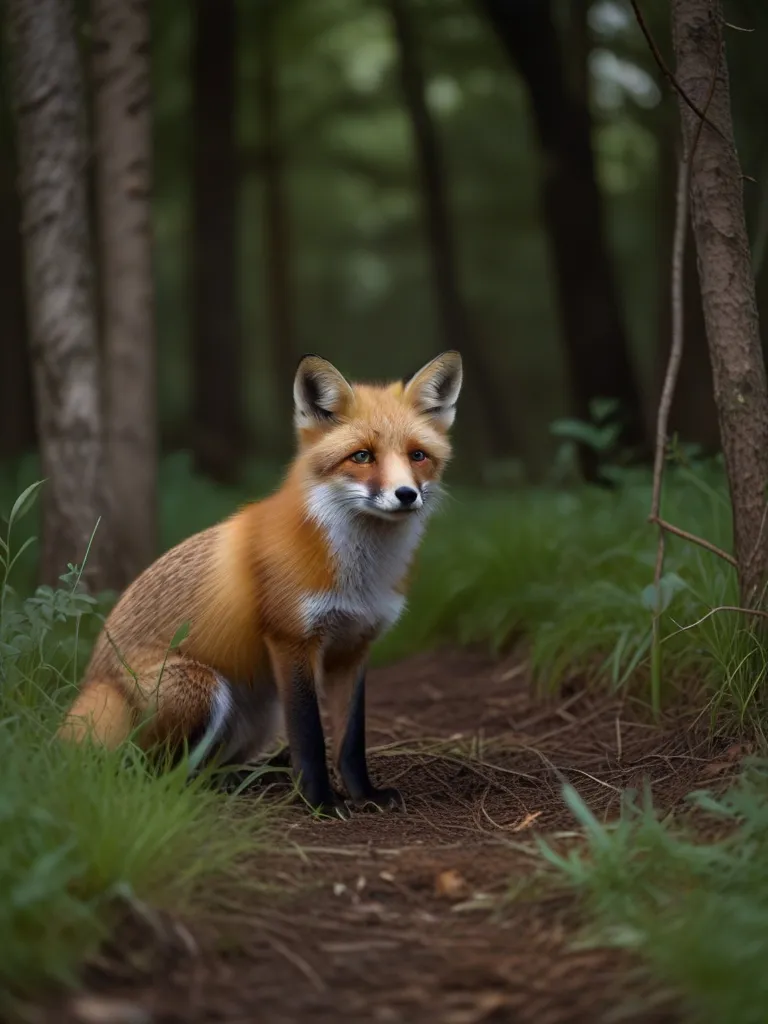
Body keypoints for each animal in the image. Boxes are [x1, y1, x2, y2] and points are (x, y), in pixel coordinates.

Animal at [58, 350, 462, 815]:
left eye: (417, 455)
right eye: (362, 456)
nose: (405, 495)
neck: (359, 576)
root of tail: (92, 680)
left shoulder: (354, 648)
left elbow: (350, 741)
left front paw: (365, 795)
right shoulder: (291, 640)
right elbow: (310, 737)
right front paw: (321, 803)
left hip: (260, 715)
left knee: (203, 768)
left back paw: (247, 777)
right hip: (200, 688)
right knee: (146, 774)